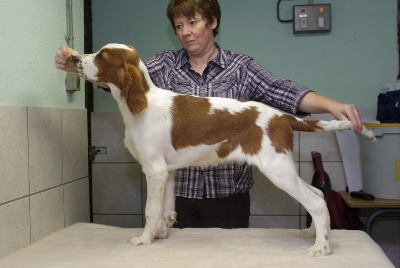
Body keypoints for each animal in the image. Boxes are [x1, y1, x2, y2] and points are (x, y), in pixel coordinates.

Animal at [71, 43, 376, 256]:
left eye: (101, 57)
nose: (74, 58)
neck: (143, 103)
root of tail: (283, 117)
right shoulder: (168, 172)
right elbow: (166, 210)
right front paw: (160, 235)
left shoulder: (154, 170)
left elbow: (150, 210)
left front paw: (144, 239)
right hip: (282, 166)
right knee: (317, 194)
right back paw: (312, 235)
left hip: (277, 168)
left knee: (316, 202)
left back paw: (321, 247)